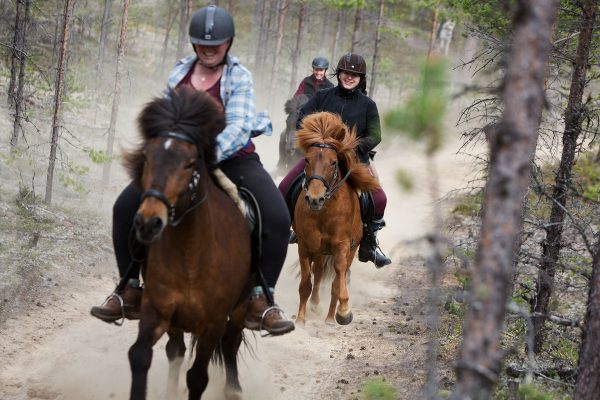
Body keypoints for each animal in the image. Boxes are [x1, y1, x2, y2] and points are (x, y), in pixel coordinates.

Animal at [124, 88, 251, 400]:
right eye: (147, 157)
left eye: (191, 163)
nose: (148, 223)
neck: (190, 255)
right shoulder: (156, 311)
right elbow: (140, 355)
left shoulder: (213, 324)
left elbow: (197, 377)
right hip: (177, 322)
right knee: (176, 350)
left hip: (239, 310)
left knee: (230, 344)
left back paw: (233, 388)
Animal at [292, 111, 380, 324]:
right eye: (307, 160)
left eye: (334, 162)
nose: (314, 199)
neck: (324, 211)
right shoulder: (305, 246)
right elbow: (305, 283)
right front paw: (301, 319)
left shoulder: (342, 246)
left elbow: (337, 281)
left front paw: (342, 312)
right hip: (319, 250)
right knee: (318, 273)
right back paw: (316, 306)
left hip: (350, 250)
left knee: (338, 275)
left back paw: (331, 318)